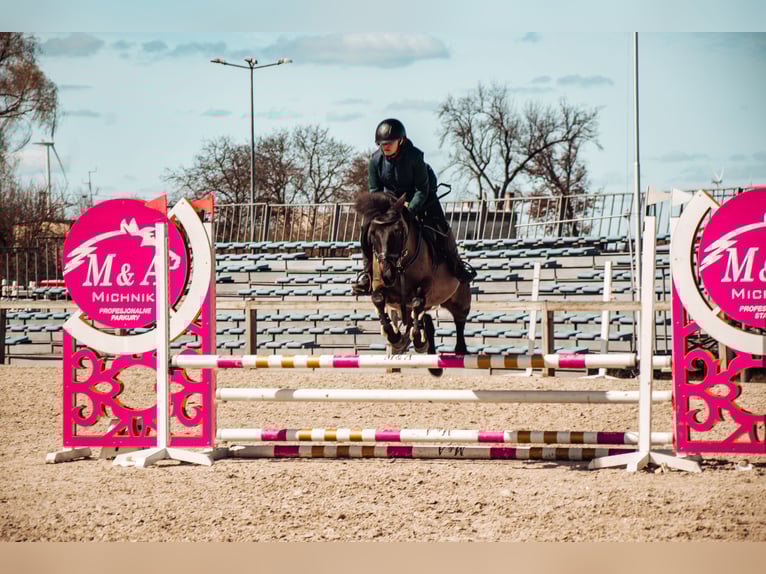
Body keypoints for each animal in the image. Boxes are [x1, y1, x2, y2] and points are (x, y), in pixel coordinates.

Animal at [353, 192, 471, 377]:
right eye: (372, 234)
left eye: (398, 231)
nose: (387, 274)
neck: (401, 265)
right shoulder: (382, 288)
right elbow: (378, 299)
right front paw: (394, 337)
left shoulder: (425, 287)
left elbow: (417, 302)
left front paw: (416, 340)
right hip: (409, 307)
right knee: (424, 320)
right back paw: (431, 363)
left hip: (458, 297)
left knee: (459, 318)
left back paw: (459, 349)